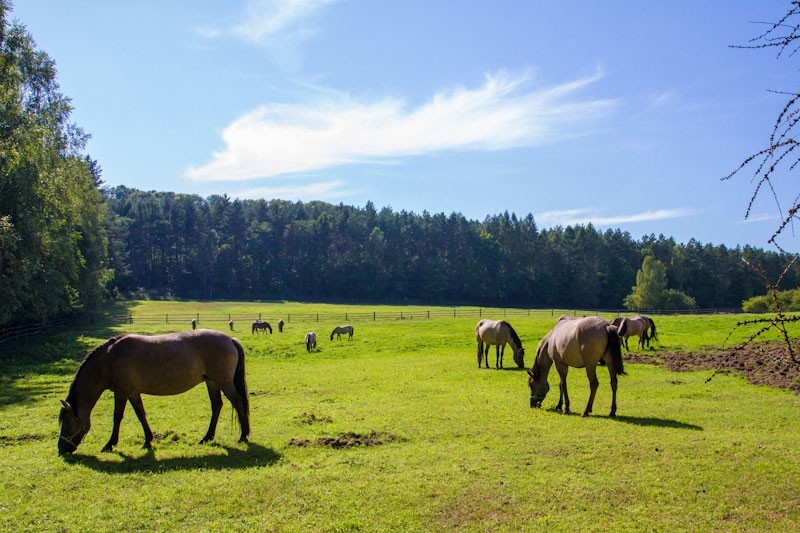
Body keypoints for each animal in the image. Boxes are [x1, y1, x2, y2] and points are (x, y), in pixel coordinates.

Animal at [58, 328, 250, 454]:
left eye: (66, 423)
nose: (61, 449)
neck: (110, 359)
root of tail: (230, 339)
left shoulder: (121, 392)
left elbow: (117, 417)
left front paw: (110, 444)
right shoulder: (132, 393)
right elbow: (141, 414)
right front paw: (148, 440)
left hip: (223, 382)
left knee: (238, 402)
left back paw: (243, 436)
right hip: (212, 382)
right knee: (217, 405)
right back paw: (207, 437)